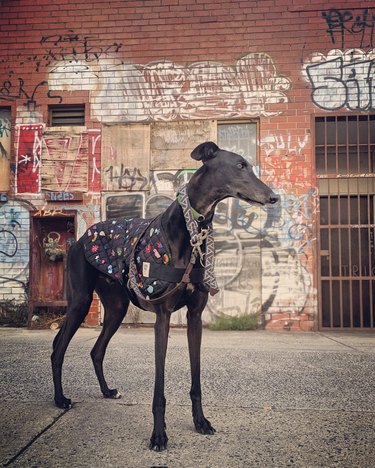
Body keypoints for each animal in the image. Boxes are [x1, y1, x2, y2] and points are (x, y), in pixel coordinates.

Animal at [51, 141, 280, 452]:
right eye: (240, 165)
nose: (273, 197)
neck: (191, 229)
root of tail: (84, 235)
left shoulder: (194, 317)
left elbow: (196, 379)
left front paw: (200, 422)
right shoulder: (163, 317)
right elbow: (159, 388)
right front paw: (158, 436)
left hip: (116, 308)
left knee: (96, 350)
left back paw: (107, 391)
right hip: (80, 301)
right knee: (58, 349)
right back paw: (60, 399)